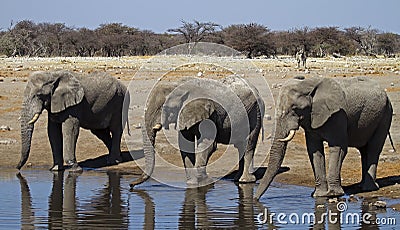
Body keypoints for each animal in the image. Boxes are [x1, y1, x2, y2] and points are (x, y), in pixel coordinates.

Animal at [130, 75, 264, 189]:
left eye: (164, 108)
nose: (131, 185)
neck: (178, 85)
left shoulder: (209, 115)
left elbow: (208, 145)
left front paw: (205, 182)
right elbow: (185, 145)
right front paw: (192, 183)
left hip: (255, 112)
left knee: (248, 145)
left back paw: (245, 181)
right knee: (241, 146)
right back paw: (237, 179)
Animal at [256, 76, 394, 199]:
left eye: (295, 108)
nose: (256, 199)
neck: (309, 84)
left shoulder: (338, 115)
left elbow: (338, 148)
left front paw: (333, 194)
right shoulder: (311, 119)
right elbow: (314, 150)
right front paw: (319, 195)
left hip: (385, 115)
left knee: (373, 149)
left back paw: (368, 188)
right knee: (364, 150)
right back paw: (362, 186)